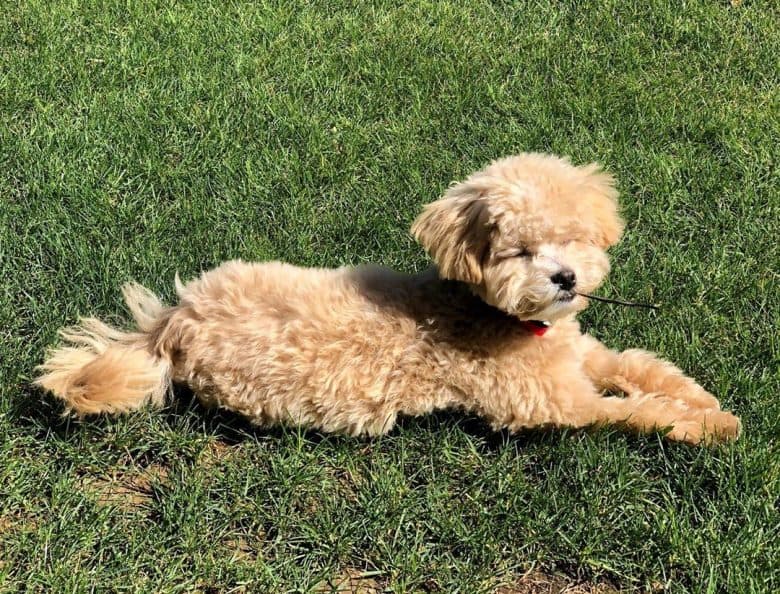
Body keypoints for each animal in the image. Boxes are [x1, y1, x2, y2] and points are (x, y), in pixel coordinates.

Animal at [35, 155, 744, 442]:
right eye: (518, 252)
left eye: (572, 237)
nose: (565, 279)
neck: (508, 320)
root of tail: (174, 322)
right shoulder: (557, 404)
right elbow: (637, 412)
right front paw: (710, 426)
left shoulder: (579, 354)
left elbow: (639, 366)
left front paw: (700, 397)